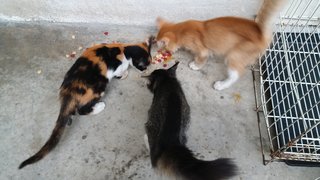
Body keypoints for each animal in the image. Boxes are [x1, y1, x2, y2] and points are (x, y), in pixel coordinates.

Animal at [18, 36, 154, 169]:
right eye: (143, 65)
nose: (146, 70)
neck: (124, 49)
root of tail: (70, 91)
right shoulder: (116, 68)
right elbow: (120, 72)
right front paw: (124, 74)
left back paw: (68, 119)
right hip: (100, 86)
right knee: (82, 110)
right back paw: (99, 106)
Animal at [155, 0, 288, 90]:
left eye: (163, 47)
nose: (161, 50)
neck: (181, 30)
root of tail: (260, 32)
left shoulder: (203, 50)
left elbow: (201, 58)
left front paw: (195, 65)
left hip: (234, 55)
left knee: (236, 75)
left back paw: (221, 85)